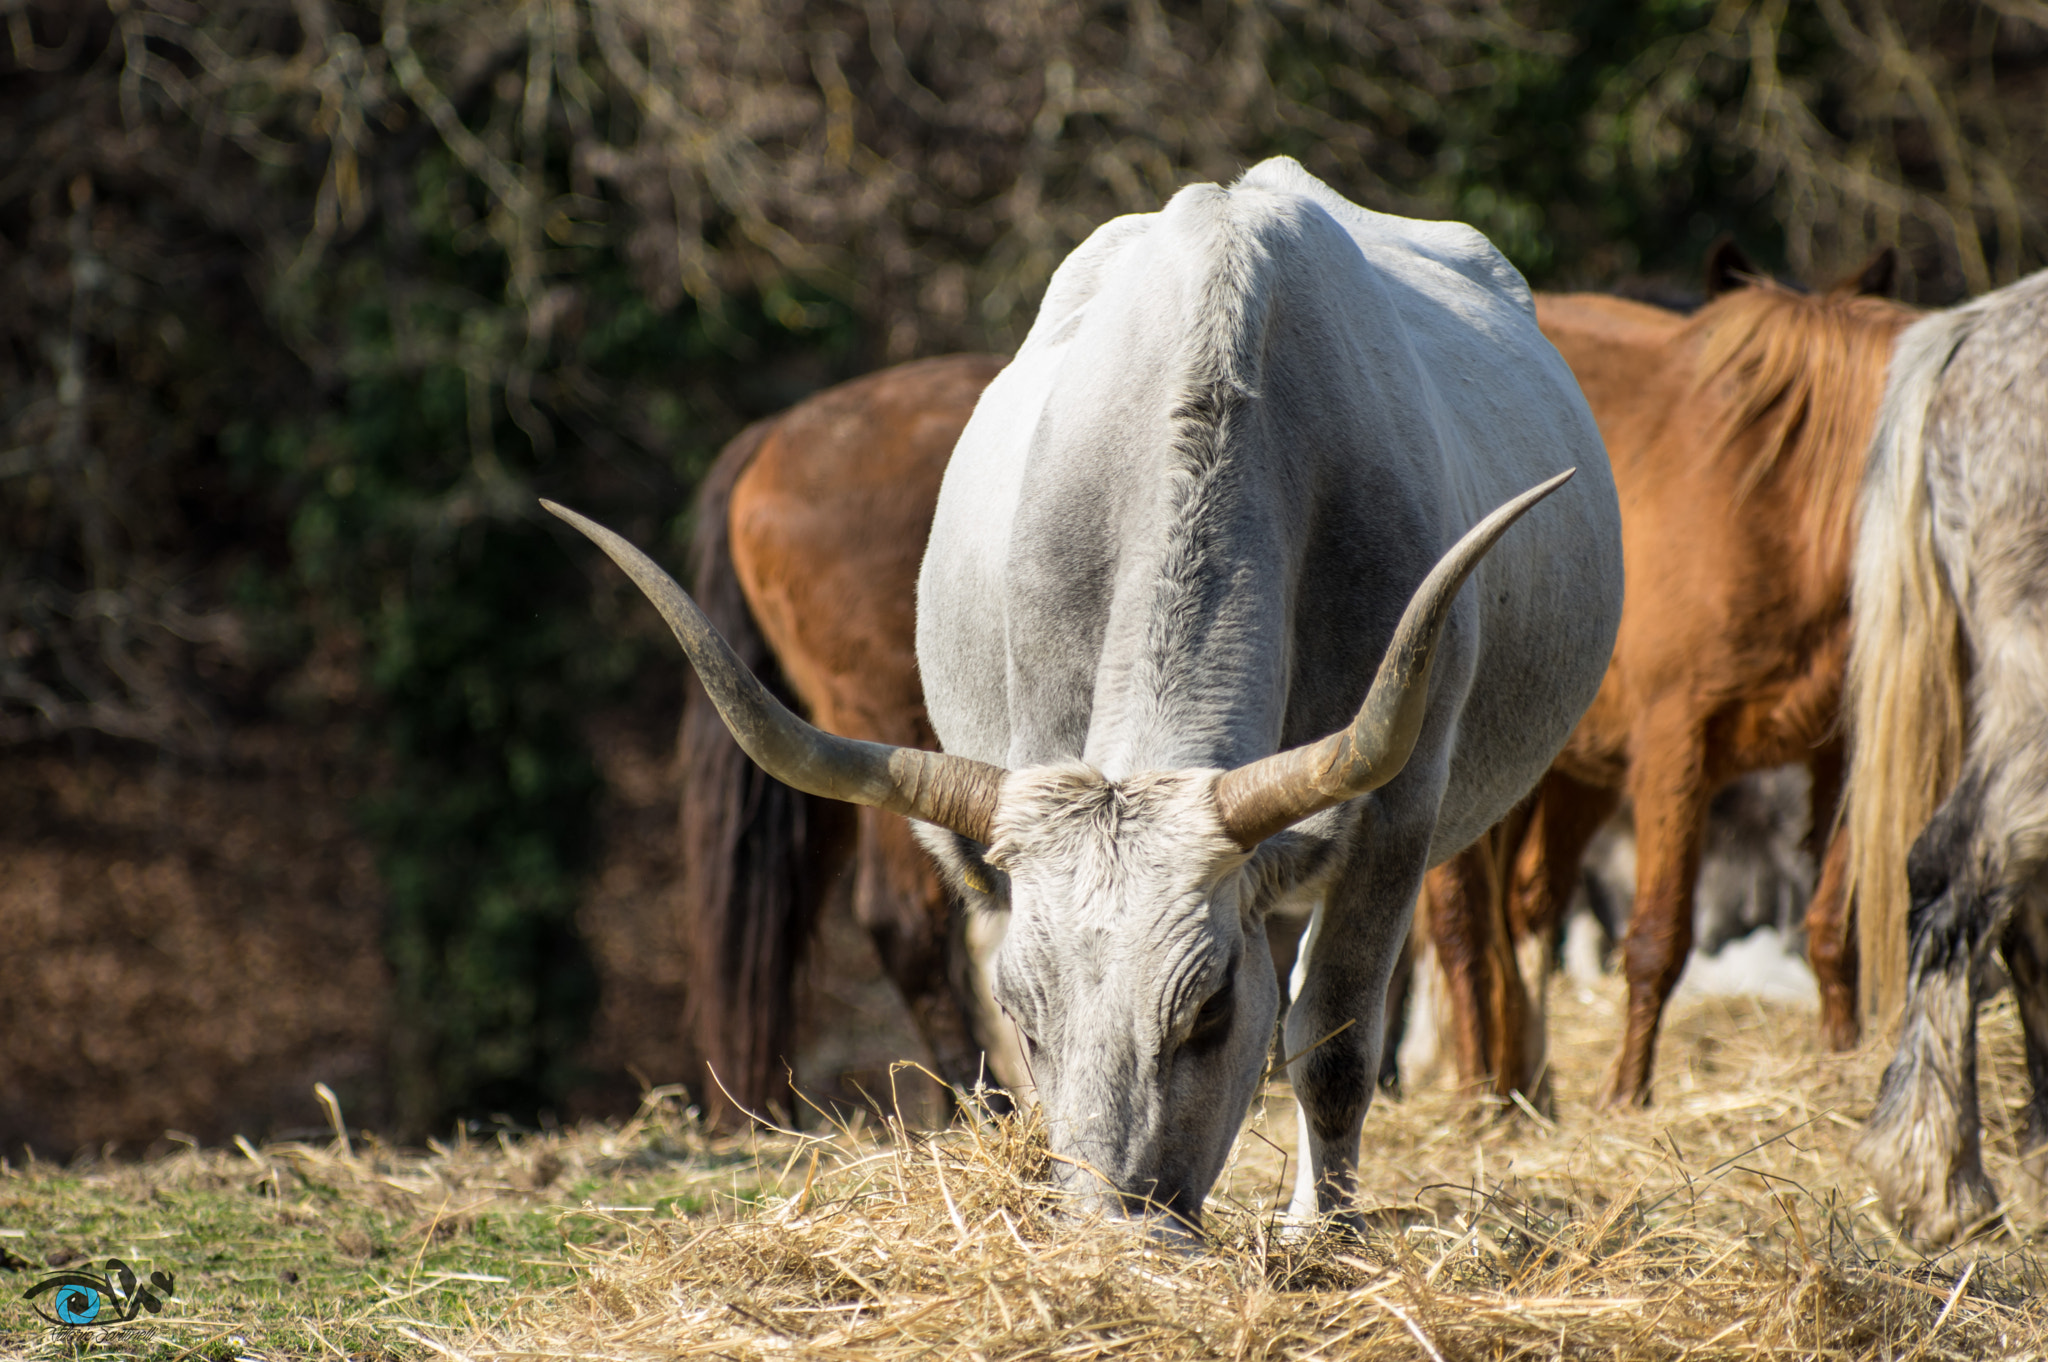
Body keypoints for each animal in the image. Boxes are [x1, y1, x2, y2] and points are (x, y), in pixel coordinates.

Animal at [544, 159, 1613, 1228]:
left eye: (1210, 1006)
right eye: (1025, 1009)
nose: (1112, 1227)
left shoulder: (1397, 809)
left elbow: (1335, 1047)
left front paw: (1326, 1236)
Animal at [1417, 246, 1908, 1105]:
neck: (1782, 508)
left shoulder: (1841, 753)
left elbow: (1830, 931)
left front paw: (1840, 1065)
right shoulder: (1678, 747)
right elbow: (1657, 937)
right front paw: (1626, 1097)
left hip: (1563, 771)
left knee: (1523, 909)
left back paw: (1523, 1094)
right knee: (1460, 921)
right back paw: (1478, 1097)